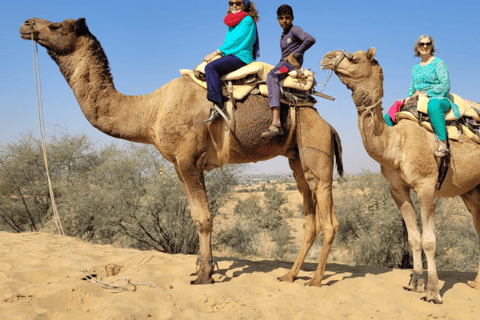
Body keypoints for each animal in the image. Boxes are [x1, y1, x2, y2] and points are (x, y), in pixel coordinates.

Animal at [20, 17, 344, 286]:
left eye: (57, 26)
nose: (27, 24)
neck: (151, 111)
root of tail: (326, 124)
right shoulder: (178, 164)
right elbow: (195, 215)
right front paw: (201, 269)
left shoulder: (189, 160)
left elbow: (204, 218)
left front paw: (204, 275)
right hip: (296, 158)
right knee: (309, 214)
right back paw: (289, 276)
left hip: (317, 151)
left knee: (328, 215)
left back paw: (315, 280)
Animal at [320, 47, 480, 302]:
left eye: (355, 57)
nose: (327, 57)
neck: (396, 145)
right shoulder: (398, 189)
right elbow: (413, 238)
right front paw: (415, 282)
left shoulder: (427, 186)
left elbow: (429, 241)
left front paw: (433, 292)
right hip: (471, 190)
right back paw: (475, 283)